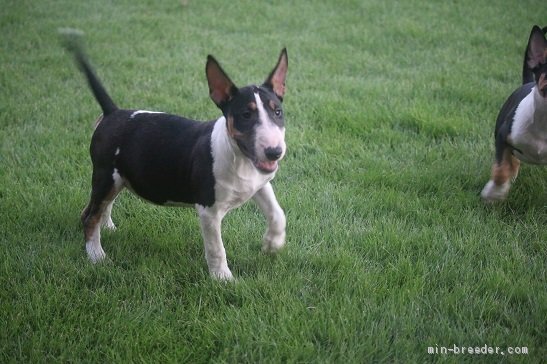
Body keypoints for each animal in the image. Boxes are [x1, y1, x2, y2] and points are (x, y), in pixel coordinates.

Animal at [61, 32, 288, 282]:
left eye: (278, 112)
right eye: (246, 115)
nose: (275, 152)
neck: (239, 158)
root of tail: (113, 112)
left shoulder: (260, 183)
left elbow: (278, 213)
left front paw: (272, 244)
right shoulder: (208, 210)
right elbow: (216, 248)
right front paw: (223, 279)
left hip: (116, 177)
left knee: (98, 207)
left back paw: (107, 226)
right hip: (105, 174)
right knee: (89, 216)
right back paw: (97, 256)